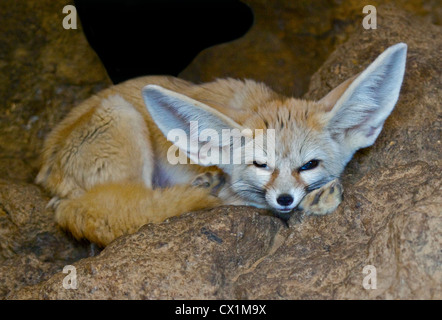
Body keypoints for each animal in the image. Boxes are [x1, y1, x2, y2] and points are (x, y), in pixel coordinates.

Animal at [36, 43, 406, 246]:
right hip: (121, 114)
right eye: (261, 165)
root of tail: (49, 181)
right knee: (127, 212)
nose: (285, 198)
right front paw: (314, 201)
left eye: (309, 165)